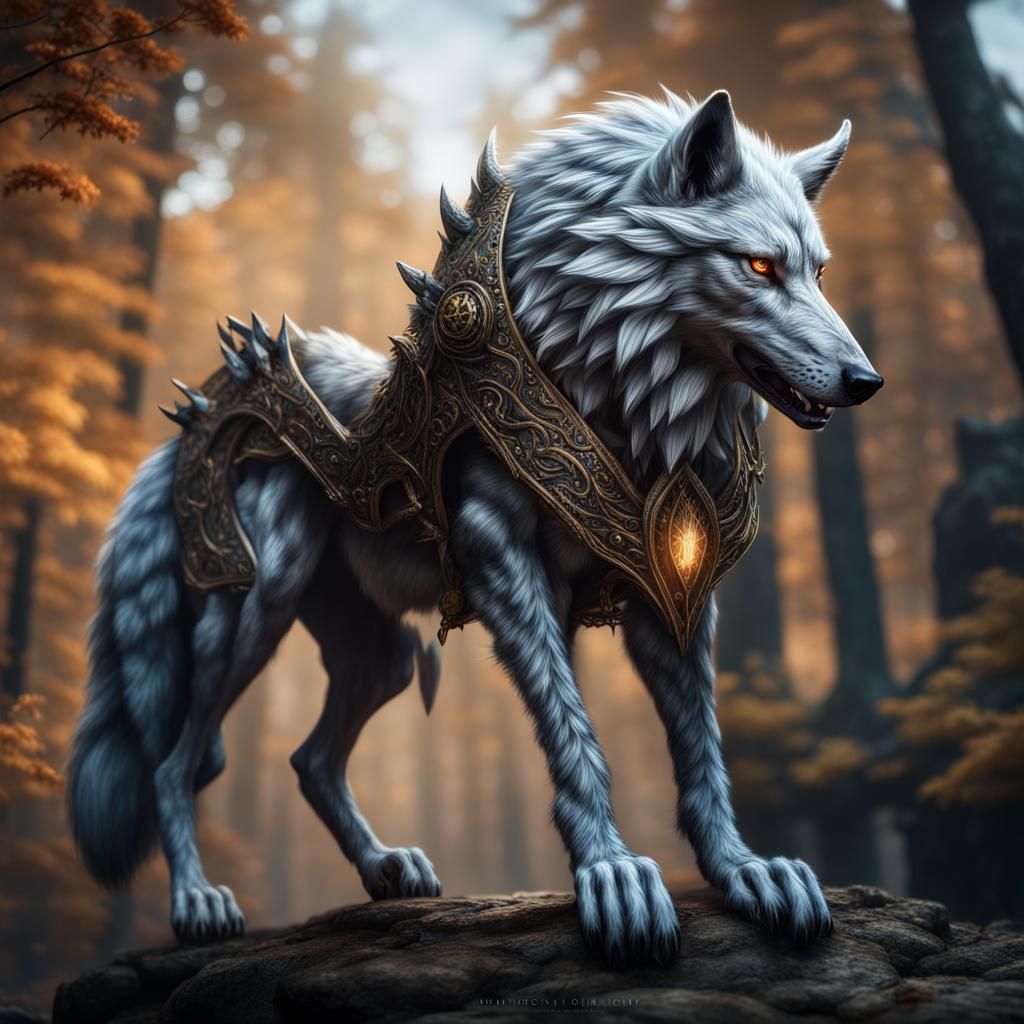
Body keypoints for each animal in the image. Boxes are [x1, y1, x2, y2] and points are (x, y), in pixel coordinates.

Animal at [68, 89, 882, 964]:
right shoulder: (504, 562)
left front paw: (745, 871)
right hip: (258, 604)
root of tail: (179, 432)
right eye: (759, 267)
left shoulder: (674, 589)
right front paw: (614, 874)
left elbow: (700, 750)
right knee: (173, 761)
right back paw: (198, 901)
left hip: (381, 656)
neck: (612, 384)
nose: (867, 381)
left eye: (818, 271)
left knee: (308, 758)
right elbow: (575, 738)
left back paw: (386, 869)